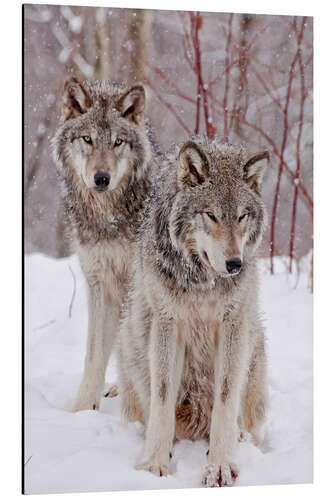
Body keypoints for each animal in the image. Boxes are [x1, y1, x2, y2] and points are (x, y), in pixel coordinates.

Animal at [51, 78, 158, 412]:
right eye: (88, 139)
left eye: (117, 142)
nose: (101, 178)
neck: (108, 219)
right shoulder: (99, 283)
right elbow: (94, 355)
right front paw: (83, 409)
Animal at [116, 135, 270, 486]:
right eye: (211, 215)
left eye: (241, 216)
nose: (235, 264)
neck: (203, 284)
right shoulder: (167, 323)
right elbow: (162, 396)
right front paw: (154, 463)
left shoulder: (233, 325)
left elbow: (226, 397)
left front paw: (220, 465)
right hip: (129, 342)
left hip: (254, 347)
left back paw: (242, 437)